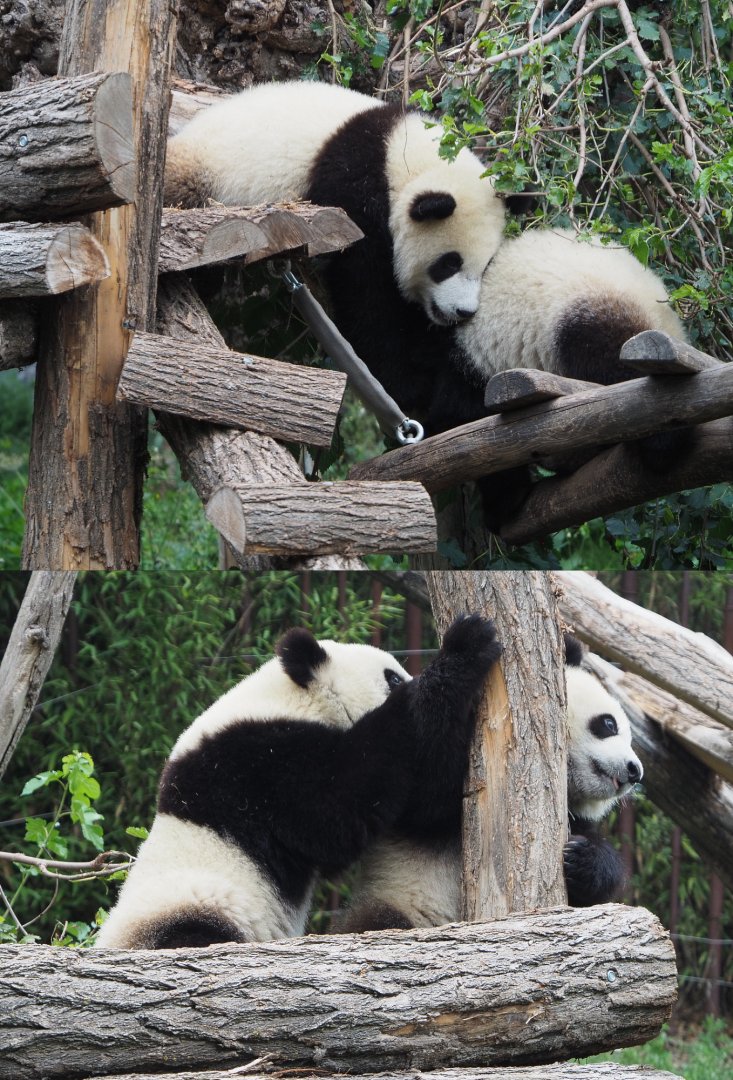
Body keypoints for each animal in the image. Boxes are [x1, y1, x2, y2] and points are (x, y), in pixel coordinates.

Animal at [95, 616, 501, 949]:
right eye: (392, 676)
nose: (408, 679)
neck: (287, 698)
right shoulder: (261, 764)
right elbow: (339, 813)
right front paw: (464, 647)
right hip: (193, 903)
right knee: (194, 934)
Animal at [164, 79, 521, 436]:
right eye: (449, 263)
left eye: (486, 267)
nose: (463, 312)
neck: (400, 157)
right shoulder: (354, 194)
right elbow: (366, 292)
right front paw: (405, 383)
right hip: (204, 175)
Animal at [339, 633, 643, 932]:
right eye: (609, 724)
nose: (635, 772)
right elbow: (420, 788)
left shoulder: (573, 819)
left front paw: (582, 859)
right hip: (402, 900)